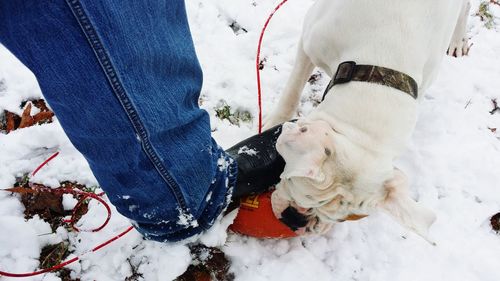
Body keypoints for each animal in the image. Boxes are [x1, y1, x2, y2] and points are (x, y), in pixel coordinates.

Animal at [268, 0, 470, 238]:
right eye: (294, 184)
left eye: (343, 219)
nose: (296, 220)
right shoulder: (309, 45)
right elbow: (293, 90)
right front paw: (274, 122)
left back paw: (458, 39)